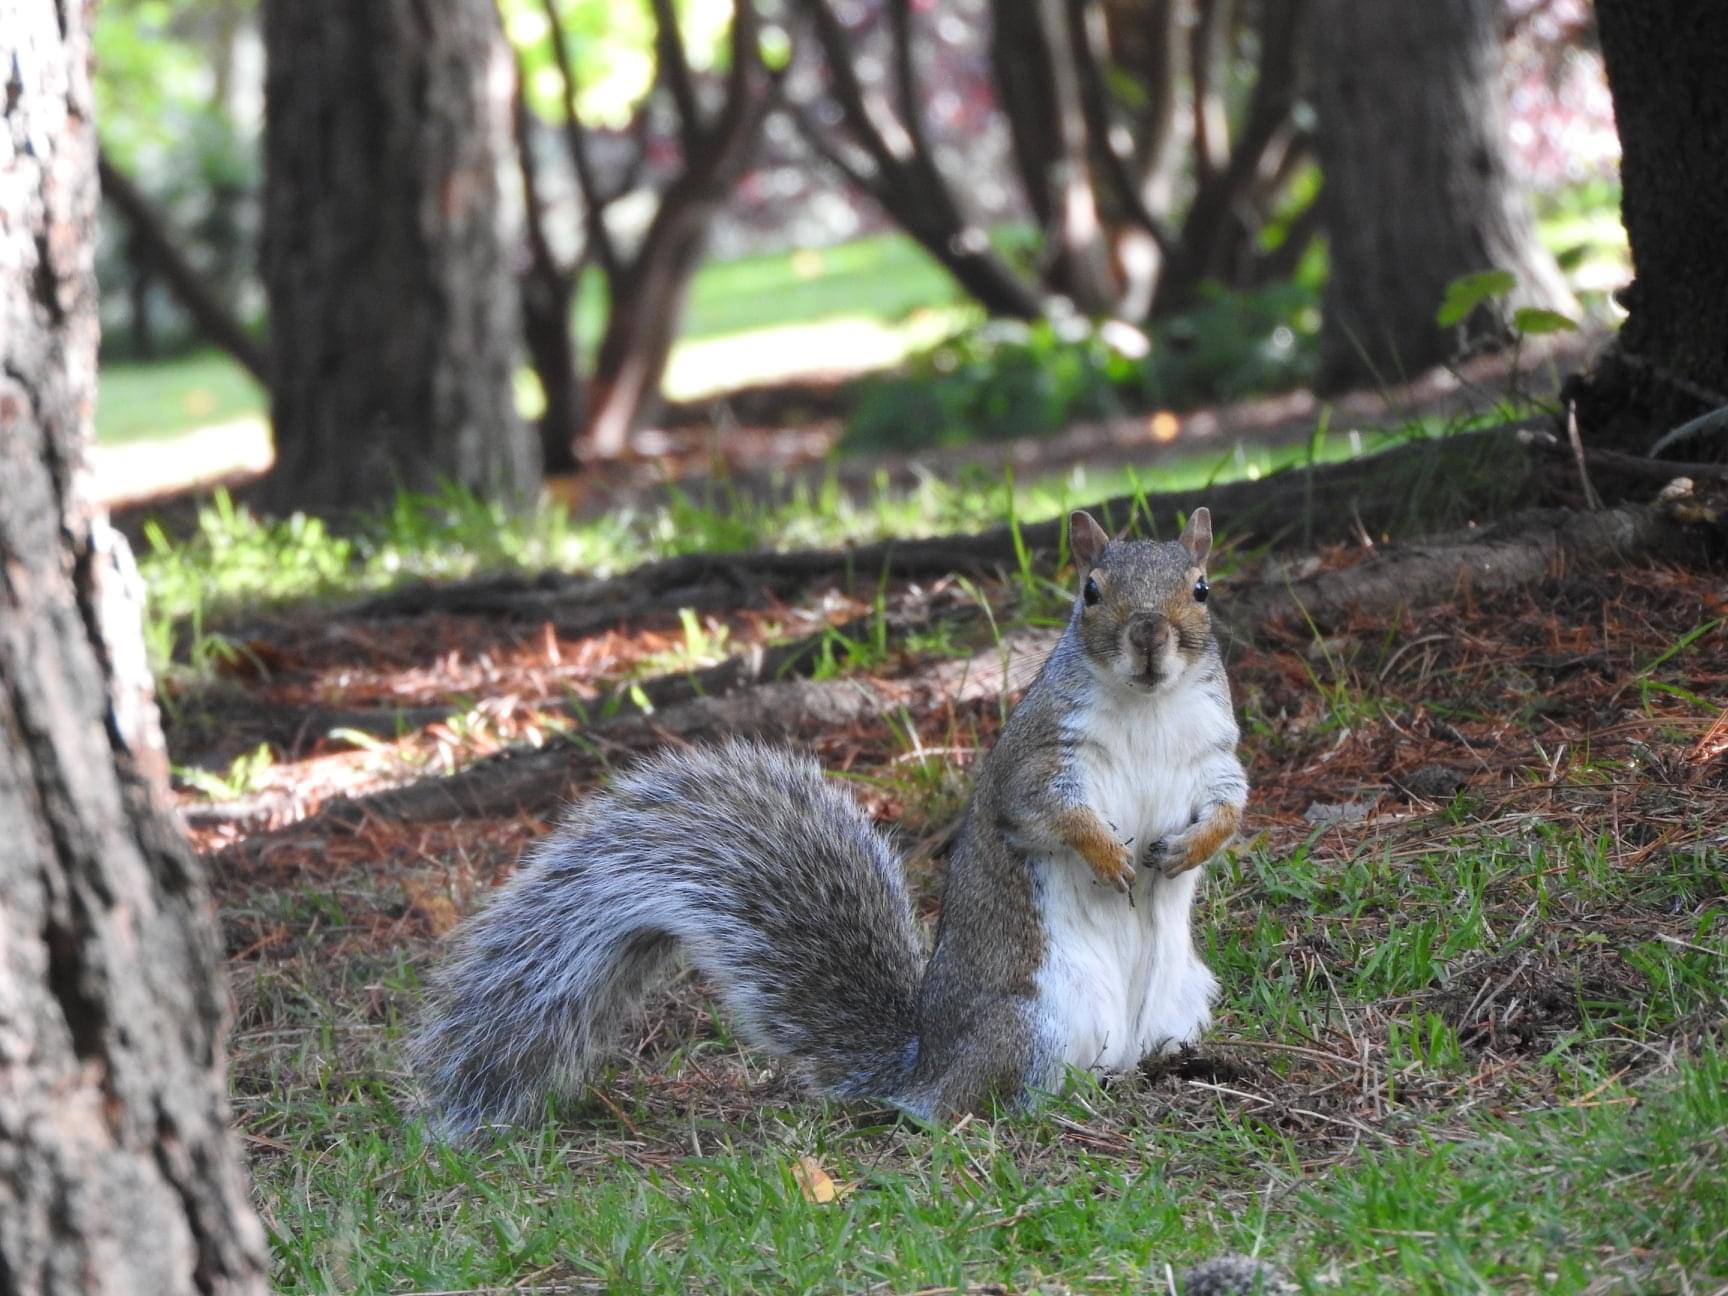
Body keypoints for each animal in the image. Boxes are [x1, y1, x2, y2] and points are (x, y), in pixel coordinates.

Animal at [413, 506, 1248, 1137]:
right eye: (1091, 590)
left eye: (1202, 588)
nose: (1150, 637)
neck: (1147, 705)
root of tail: (924, 1065)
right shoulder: (1041, 759)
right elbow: (1050, 813)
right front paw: (1108, 855)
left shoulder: (1216, 757)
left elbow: (1232, 807)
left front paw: (1188, 849)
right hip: (1034, 1022)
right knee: (982, 1104)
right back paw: (1060, 1101)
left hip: (1184, 1000)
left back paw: (1167, 1071)